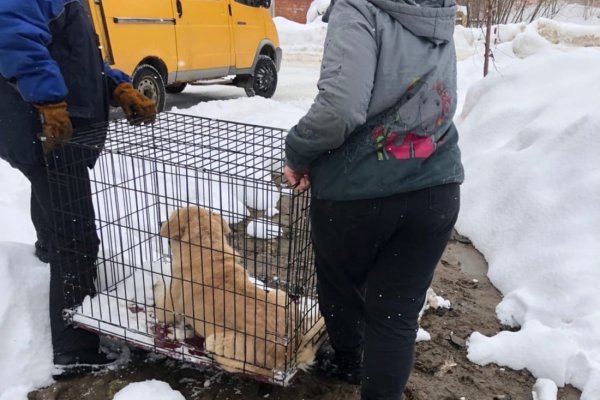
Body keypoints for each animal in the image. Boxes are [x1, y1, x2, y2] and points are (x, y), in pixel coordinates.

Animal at [154, 206, 314, 372]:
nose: (159, 222)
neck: (206, 248)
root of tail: (288, 353)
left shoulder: (166, 308)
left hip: (217, 340)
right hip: (280, 295)